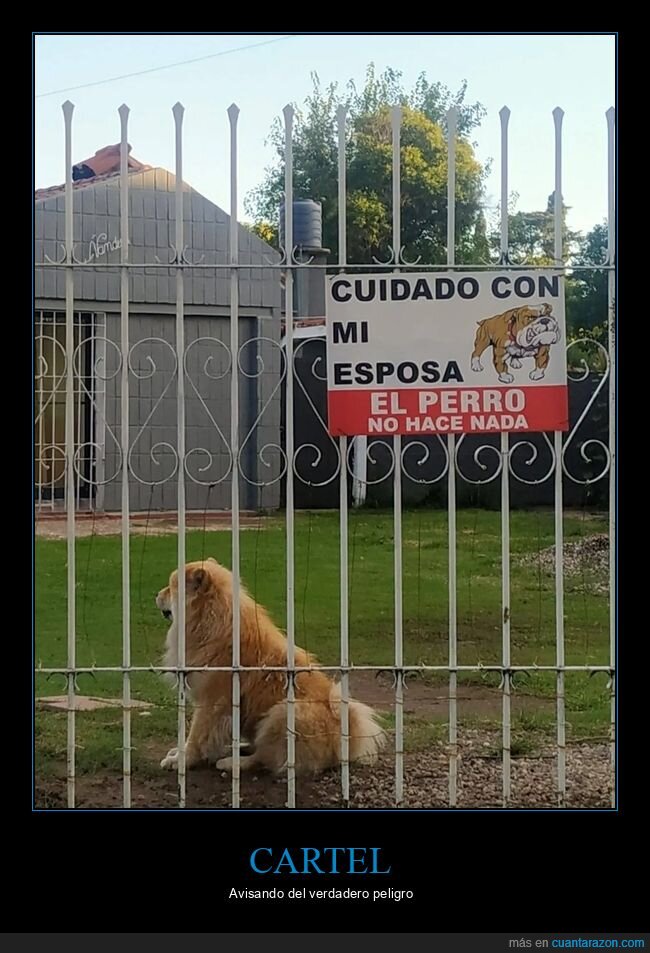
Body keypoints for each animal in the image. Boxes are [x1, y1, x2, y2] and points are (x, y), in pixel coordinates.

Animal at [156, 556, 384, 772]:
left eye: (171, 587)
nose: (156, 595)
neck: (209, 620)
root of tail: (345, 737)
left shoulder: (212, 701)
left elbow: (197, 736)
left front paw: (181, 760)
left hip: (282, 712)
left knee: (265, 758)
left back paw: (233, 763)